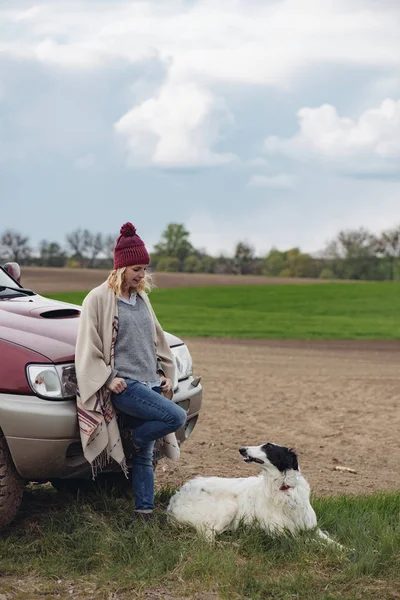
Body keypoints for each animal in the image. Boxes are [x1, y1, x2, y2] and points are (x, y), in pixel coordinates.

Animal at [167, 438, 340, 548]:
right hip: (229, 507)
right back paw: (232, 544)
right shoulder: (280, 534)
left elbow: (333, 543)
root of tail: (175, 499)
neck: (283, 489)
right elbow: (309, 542)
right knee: (208, 538)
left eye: (268, 447)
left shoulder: (312, 528)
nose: (241, 449)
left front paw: (344, 551)